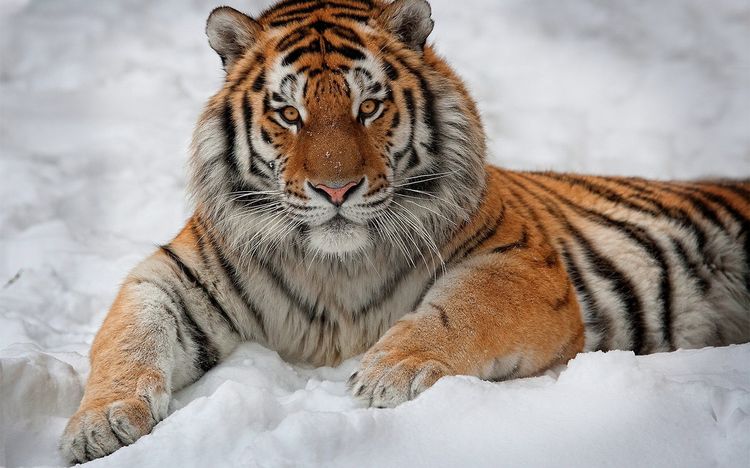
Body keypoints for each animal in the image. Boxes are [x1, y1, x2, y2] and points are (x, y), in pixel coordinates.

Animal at [60, 0, 750, 463]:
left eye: (368, 106)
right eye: (290, 113)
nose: (335, 190)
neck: (333, 266)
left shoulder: (520, 264)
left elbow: (458, 311)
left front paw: (389, 372)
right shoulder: (172, 277)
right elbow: (127, 340)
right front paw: (99, 424)